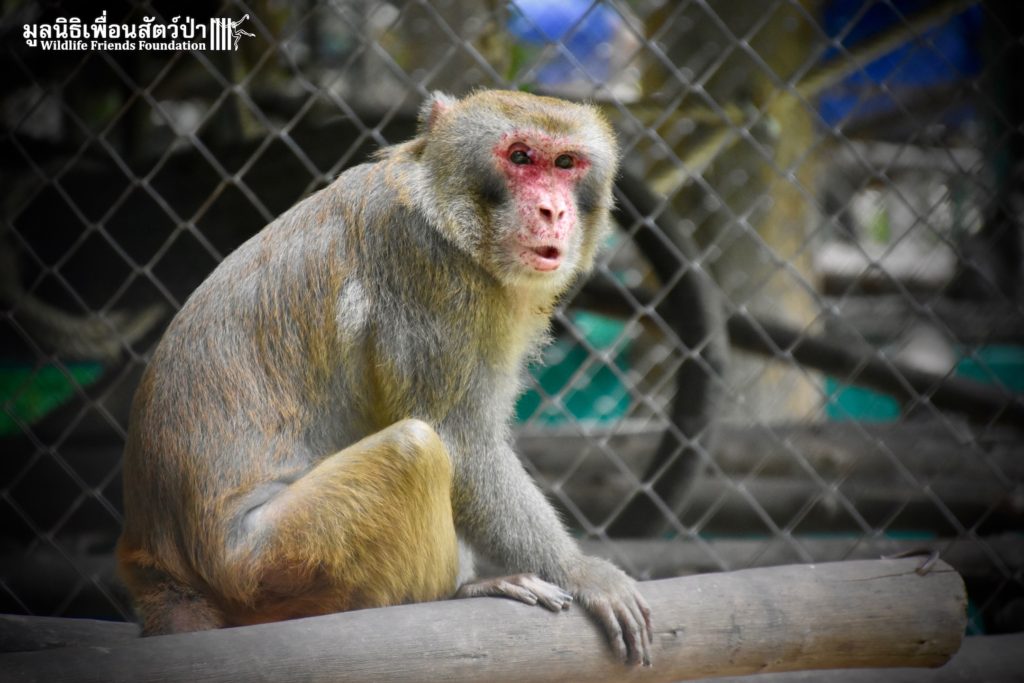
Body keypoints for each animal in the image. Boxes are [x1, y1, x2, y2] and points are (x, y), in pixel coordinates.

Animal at [117, 89, 653, 666]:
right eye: (521, 157)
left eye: (566, 163)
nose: (553, 210)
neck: (443, 209)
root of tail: (160, 571)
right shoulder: (431, 273)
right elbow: (459, 441)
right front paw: (581, 572)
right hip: (268, 563)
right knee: (413, 449)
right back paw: (456, 592)